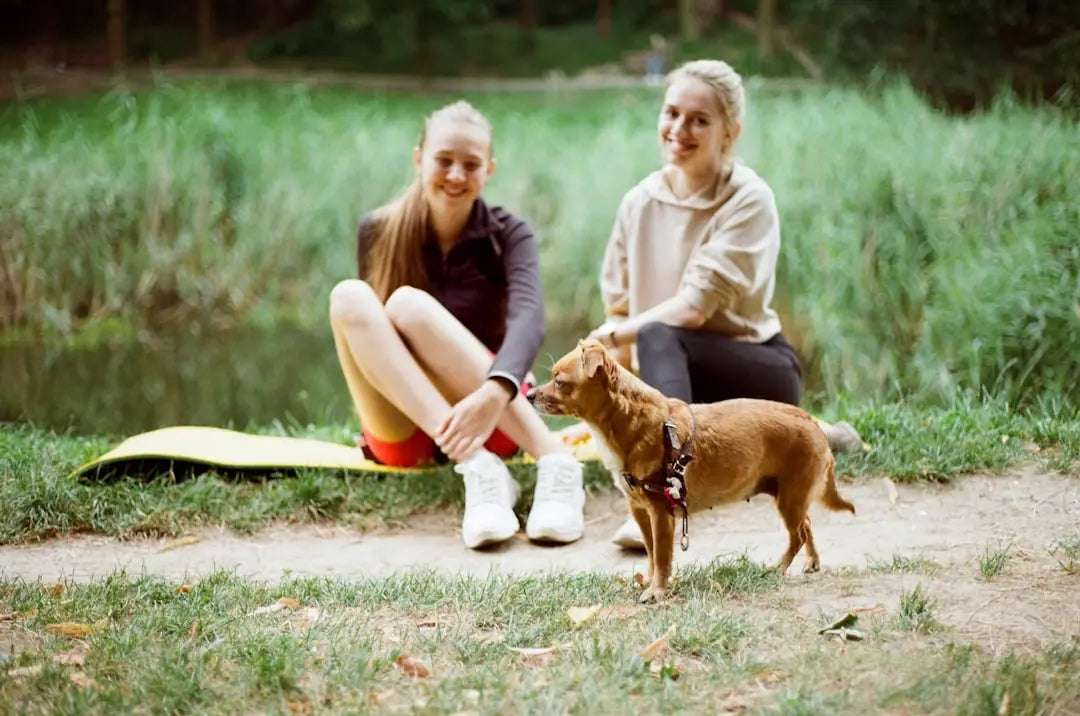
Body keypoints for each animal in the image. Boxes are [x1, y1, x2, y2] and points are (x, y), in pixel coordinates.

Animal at [527, 339, 855, 600]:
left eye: (559, 381)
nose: (529, 395)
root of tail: (814, 424)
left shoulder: (661, 514)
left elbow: (662, 556)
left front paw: (657, 592)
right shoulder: (640, 511)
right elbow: (651, 553)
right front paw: (648, 581)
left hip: (789, 498)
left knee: (797, 535)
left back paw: (778, 567)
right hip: (788, 495)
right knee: (807, 525)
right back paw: (812, 561)